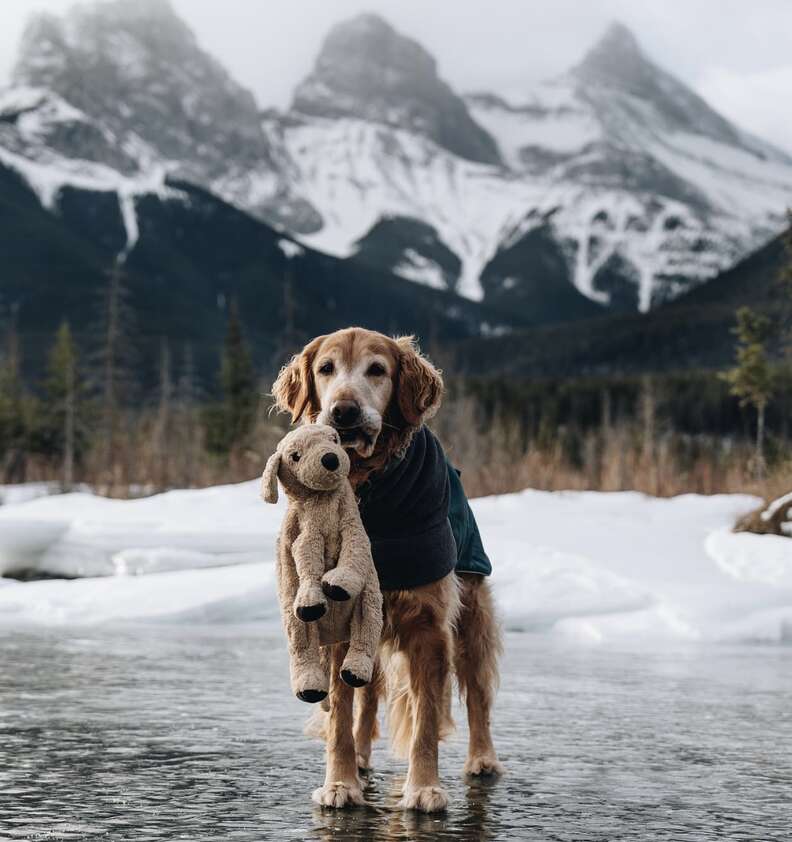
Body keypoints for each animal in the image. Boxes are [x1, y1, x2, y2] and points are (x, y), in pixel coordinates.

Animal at [272, 326, 504, 808]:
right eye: (326, 369)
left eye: (377, 369)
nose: (343, 411)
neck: (369, 486)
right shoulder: (338, 617)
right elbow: (341, 714)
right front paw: (339, 782)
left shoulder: (430, 625)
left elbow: (426, 722)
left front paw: (424, 788)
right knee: (366, 699)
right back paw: (360, 759)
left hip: (473, 612)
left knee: (478, 694)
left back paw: (482, 759)